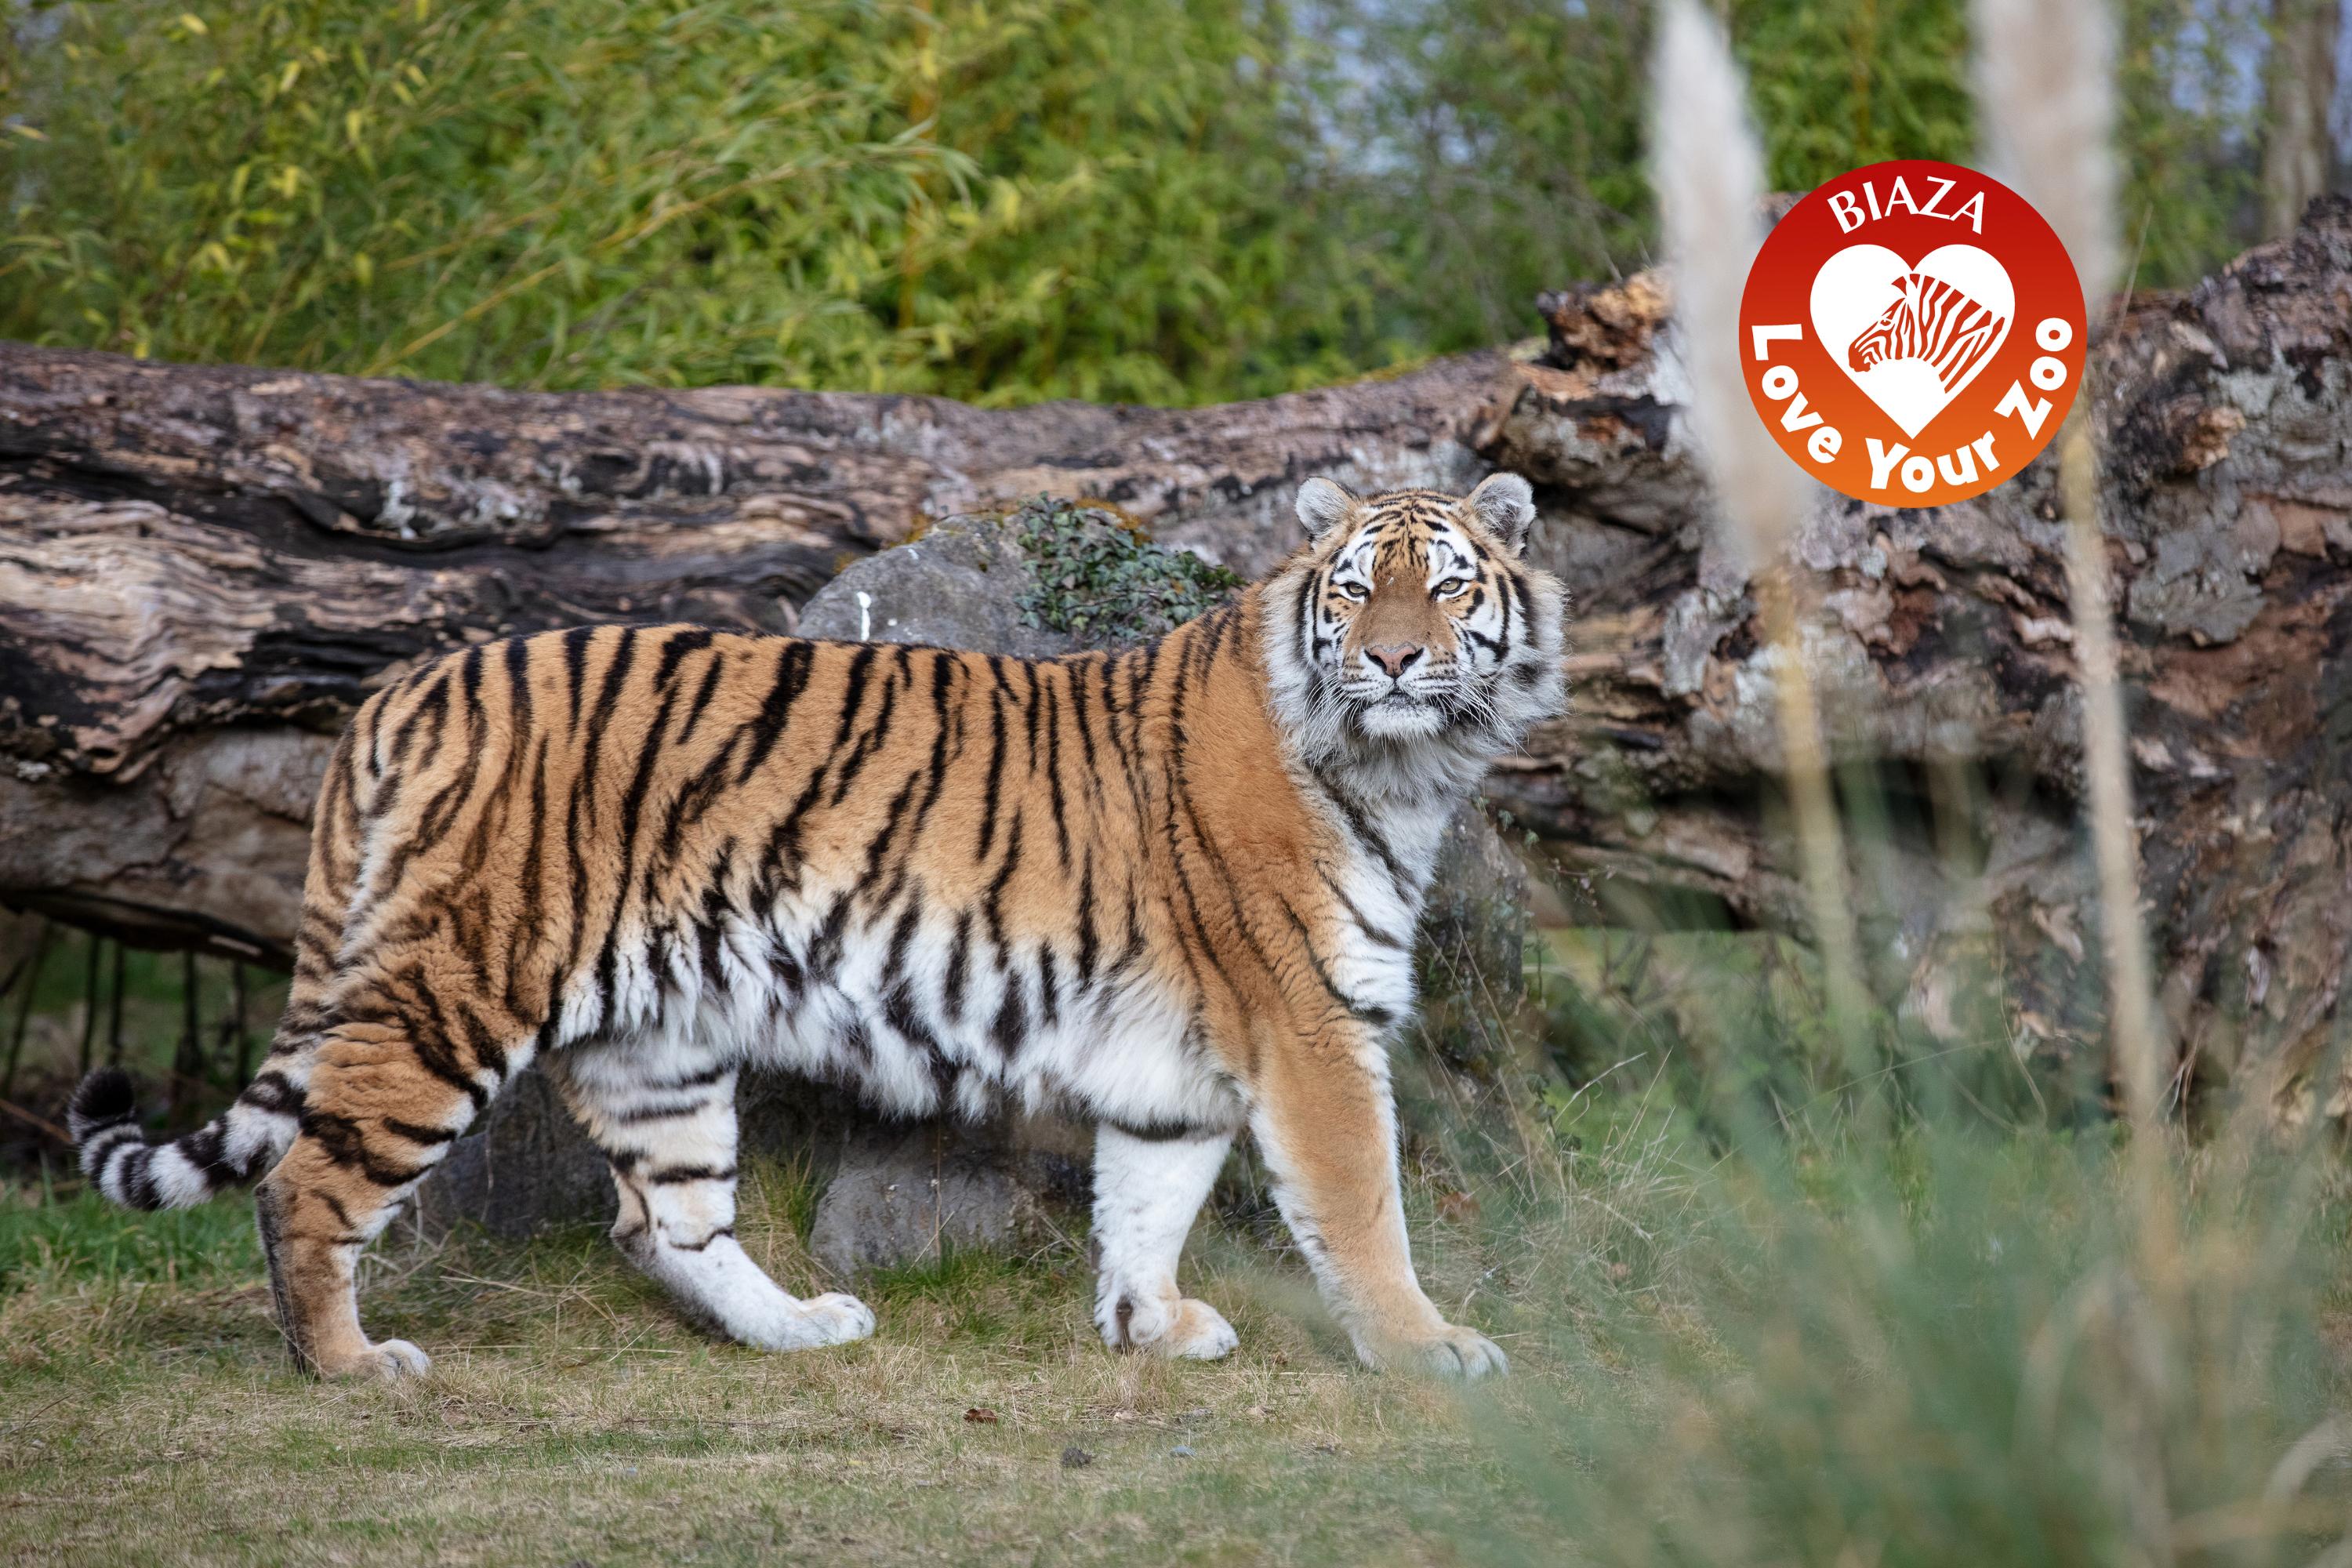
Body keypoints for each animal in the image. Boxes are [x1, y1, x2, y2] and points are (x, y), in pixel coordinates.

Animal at [68, 472, 1562, 1382]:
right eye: (1357, 587)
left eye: (1449, 587)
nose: (1393, 660)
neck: (1400, 773)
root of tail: (408, 685)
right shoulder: (1309, 1028)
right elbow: (1362, 1206)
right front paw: (1430, 1348)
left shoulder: (1183, 1058)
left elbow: (1148, 1195)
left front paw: (1147, 1326)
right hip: (452, 994)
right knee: (306, 1183)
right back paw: (349, 1365)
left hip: (659, 1041)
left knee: (661, 1223)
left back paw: (800, 1330)